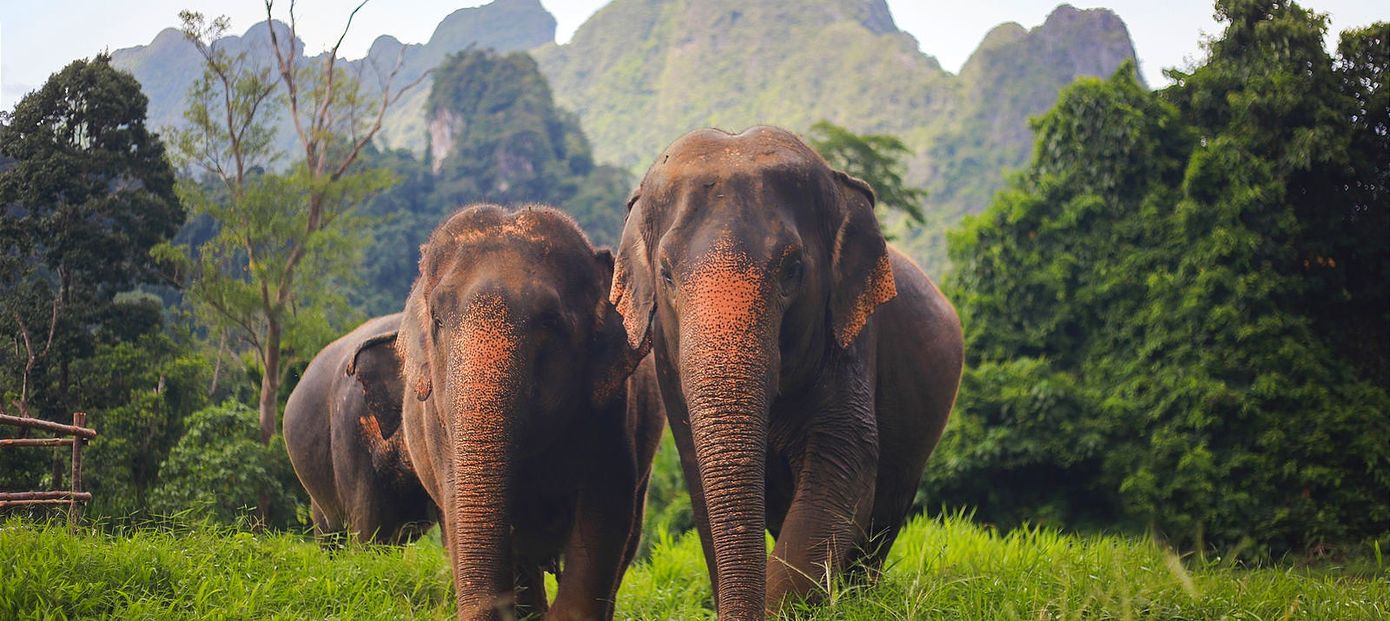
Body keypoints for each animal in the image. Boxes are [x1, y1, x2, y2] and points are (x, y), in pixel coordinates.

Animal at [391, 204, 664, 621]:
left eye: (550, 321)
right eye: (437, 320)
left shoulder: (612, 414)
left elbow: (603, 520)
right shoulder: (438, 428)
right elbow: (459, 514)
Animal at [610, 126, 964, 619]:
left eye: (793, 268)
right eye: (665, 273)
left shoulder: (852, 337)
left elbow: (843, 466)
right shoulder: (666, 358)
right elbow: (700, 480)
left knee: (884, 512)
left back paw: (856, 599)